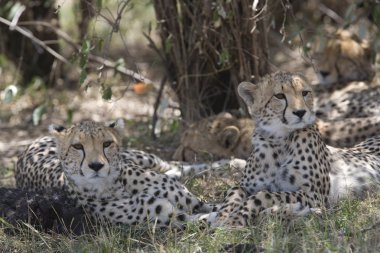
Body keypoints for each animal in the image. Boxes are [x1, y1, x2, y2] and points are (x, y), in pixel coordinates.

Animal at [14, 119, 217, 226]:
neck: (113, 186)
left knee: (175, 165)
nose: (96, 166)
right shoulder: (168, 217)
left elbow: (215, 207)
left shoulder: (195, 203)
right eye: (77, 146)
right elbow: (206, 219)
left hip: (145, 158)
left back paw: (223, 163)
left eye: (107, 144)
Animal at [211, 71, 380, 227]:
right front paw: (221, 217)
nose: (300, 112)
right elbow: (233, 192)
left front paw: (234, 220)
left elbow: (263, 195)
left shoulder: (315, 195)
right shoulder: (244, 185)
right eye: (279, 96)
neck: (278, 139)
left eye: (305, 93)